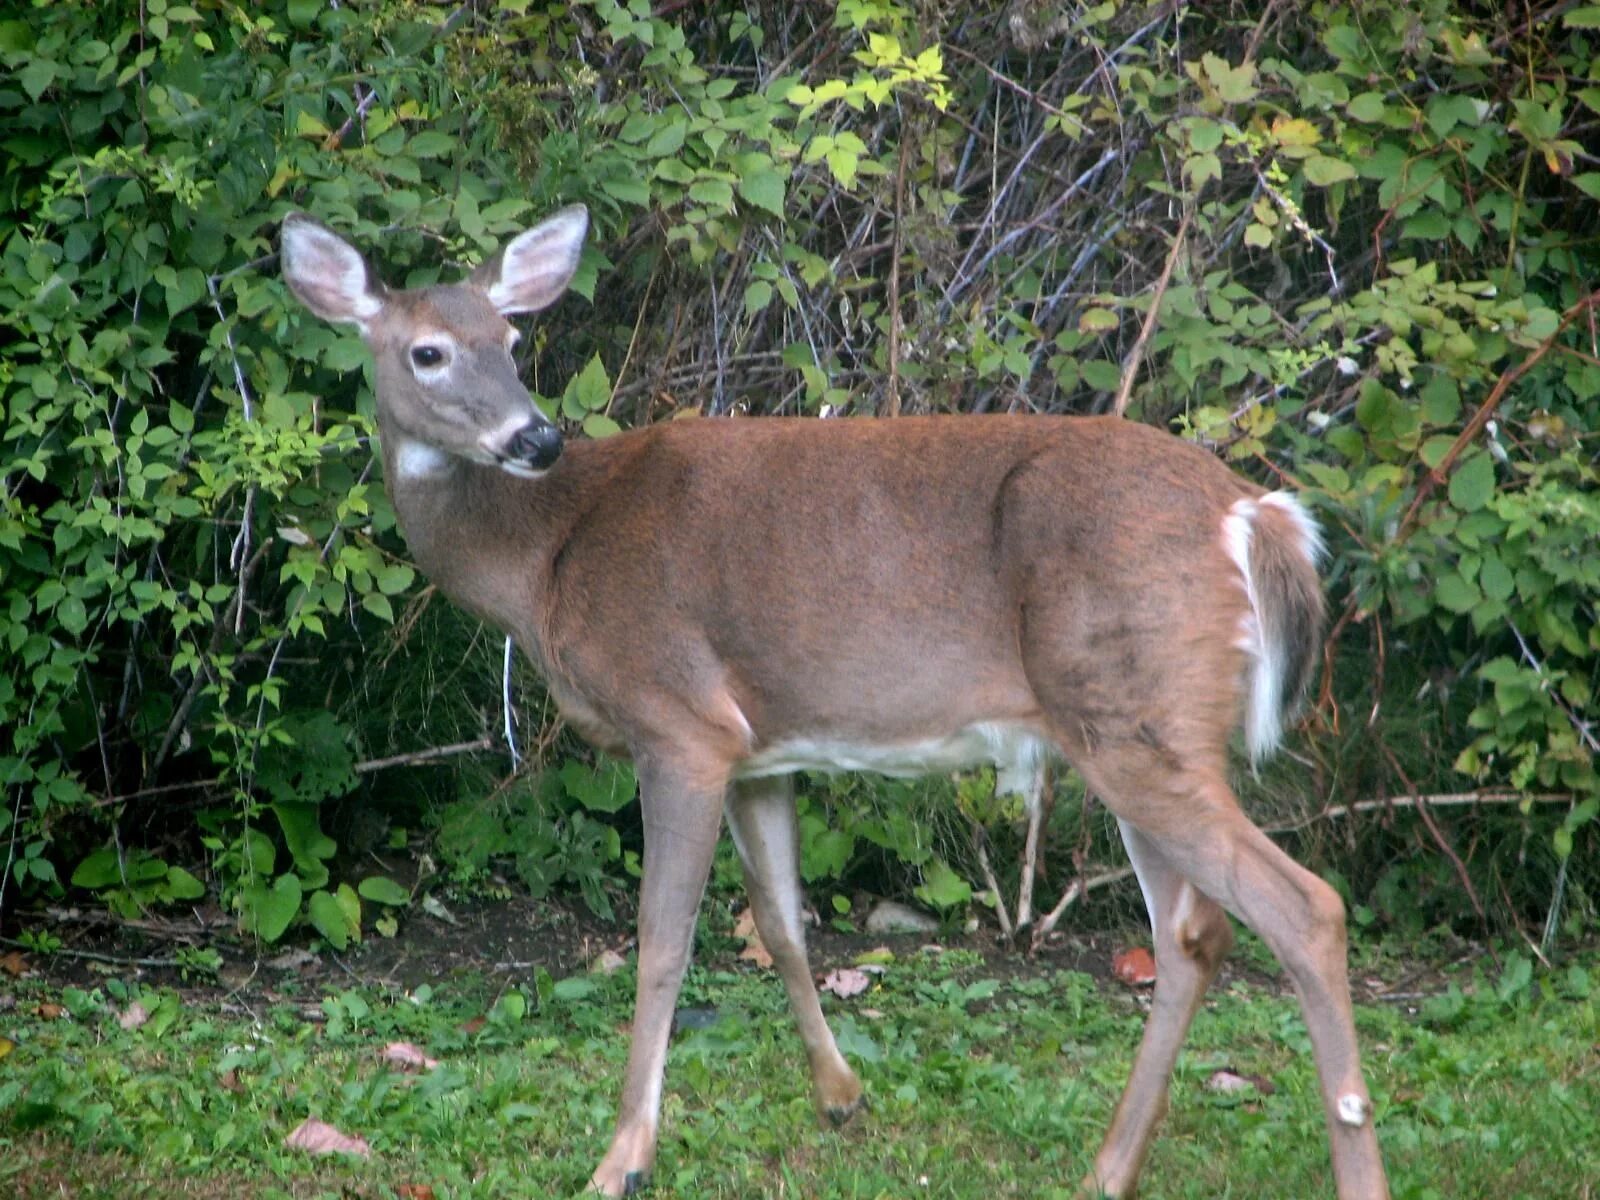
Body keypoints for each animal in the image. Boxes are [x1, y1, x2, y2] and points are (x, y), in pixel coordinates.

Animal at [281, 202, 1395, 1196]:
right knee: (1191, 935)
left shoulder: (676, 719)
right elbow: (780, 921)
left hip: (1135, 714)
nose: (533, 438)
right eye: (430, 352)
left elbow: (661, 944)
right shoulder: (756, 748)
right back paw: (1105, 1173)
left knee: (1305, 909)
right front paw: (841, 1096)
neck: (548, 555)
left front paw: (622, 1160)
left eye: (511, 340)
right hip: (1134, 726)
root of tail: (1255, 515)